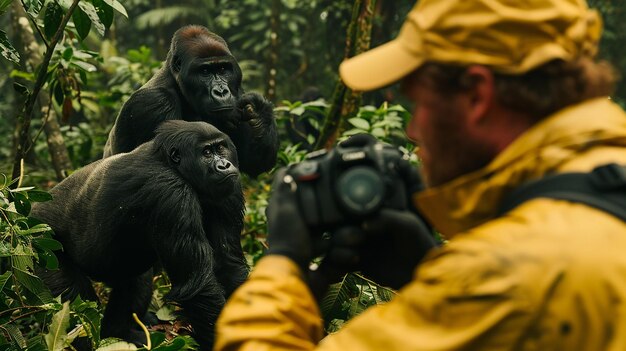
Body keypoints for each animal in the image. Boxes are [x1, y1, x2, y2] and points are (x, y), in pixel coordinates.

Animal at [32, 120, 246, 350]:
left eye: (220, 148)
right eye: (206, 152)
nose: (224, 165)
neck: (170, 163)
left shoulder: (230, 188)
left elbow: (228, 265)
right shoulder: (169, 192)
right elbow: (199, 286)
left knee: (137, 281)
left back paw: (119, 333)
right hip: (41, 245)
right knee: (75, 306)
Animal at [103, 25, 276, 179]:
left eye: (222, 69)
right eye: (205, 71)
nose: (221, 92)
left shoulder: (237, 92)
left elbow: (252, 162)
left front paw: (259, 114)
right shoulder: (155, 103)